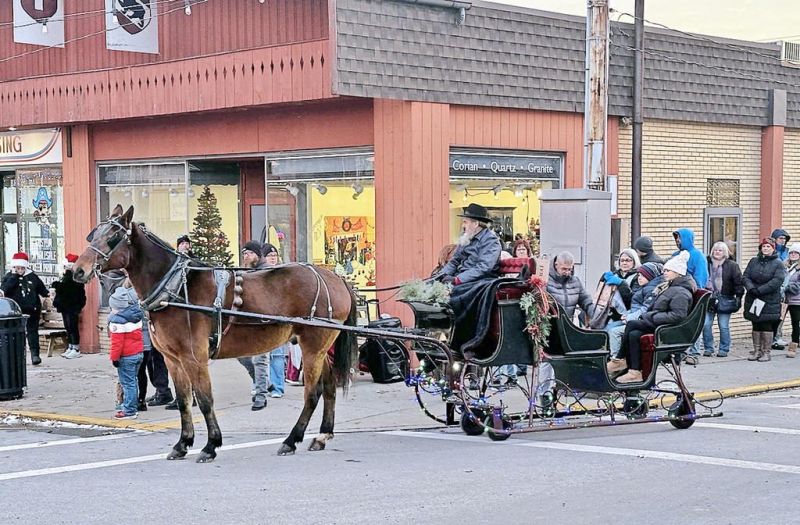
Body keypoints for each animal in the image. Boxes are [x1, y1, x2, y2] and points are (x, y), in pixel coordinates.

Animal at [72, 205, 360, 458]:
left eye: (113, 237)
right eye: (92, 235)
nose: (77, 270)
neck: (176, 288)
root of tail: (335, 278)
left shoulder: (193, 357)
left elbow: (204, 399)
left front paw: (210, 445)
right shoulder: (173, 359)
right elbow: (184, 401)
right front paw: (182, 444)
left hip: (313, 346)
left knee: (313, 392)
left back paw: (291, 440)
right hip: (318, 347)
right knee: (329, 385)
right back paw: (322, 435)